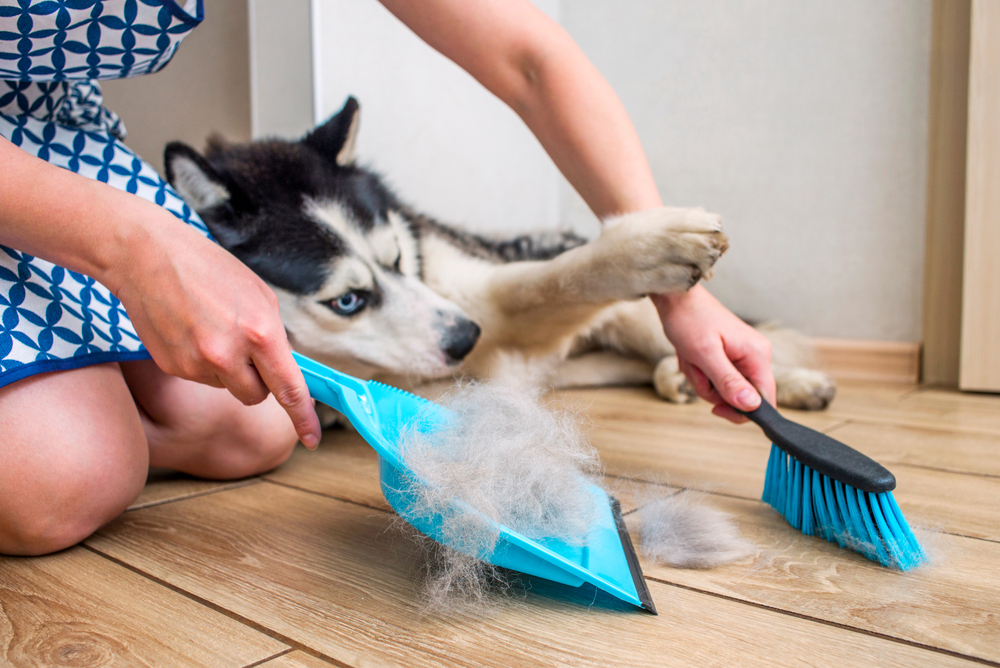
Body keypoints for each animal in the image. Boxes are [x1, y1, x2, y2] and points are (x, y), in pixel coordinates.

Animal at [166, 98, 836, 412]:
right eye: (348, 300)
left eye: (399, 259)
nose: (466, 336)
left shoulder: (488, 299)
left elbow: (552, 279)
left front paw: (648, 245)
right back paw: (680, 378)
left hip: (635, 318)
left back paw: (781, 384)